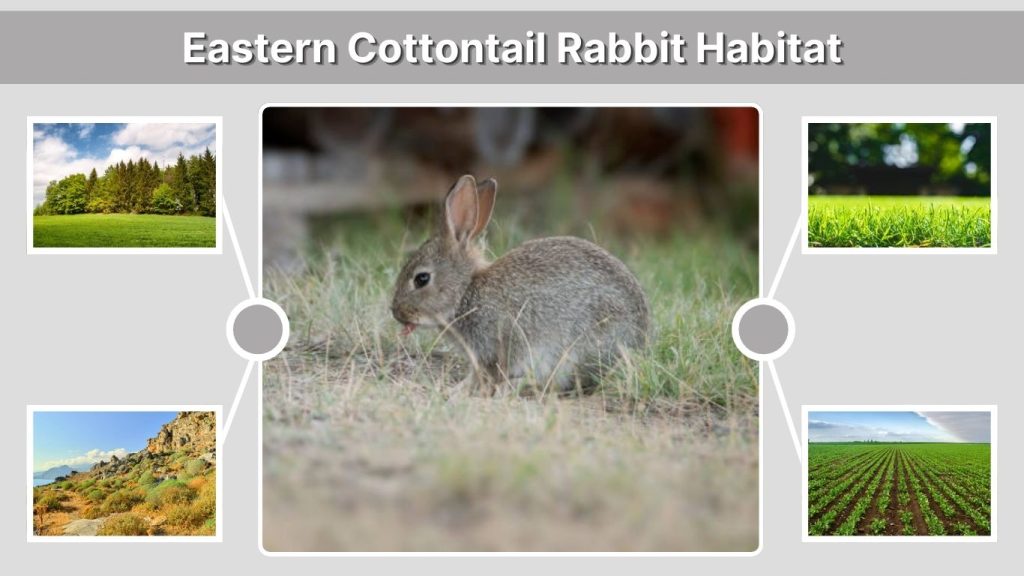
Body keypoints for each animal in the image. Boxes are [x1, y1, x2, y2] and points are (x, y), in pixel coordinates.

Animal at [391, 174, 650, 395]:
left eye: (421, 279)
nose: (396, 313)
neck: (466, 291)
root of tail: (641, 340)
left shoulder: (496, 347)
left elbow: (487, 374)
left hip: (577, 348)